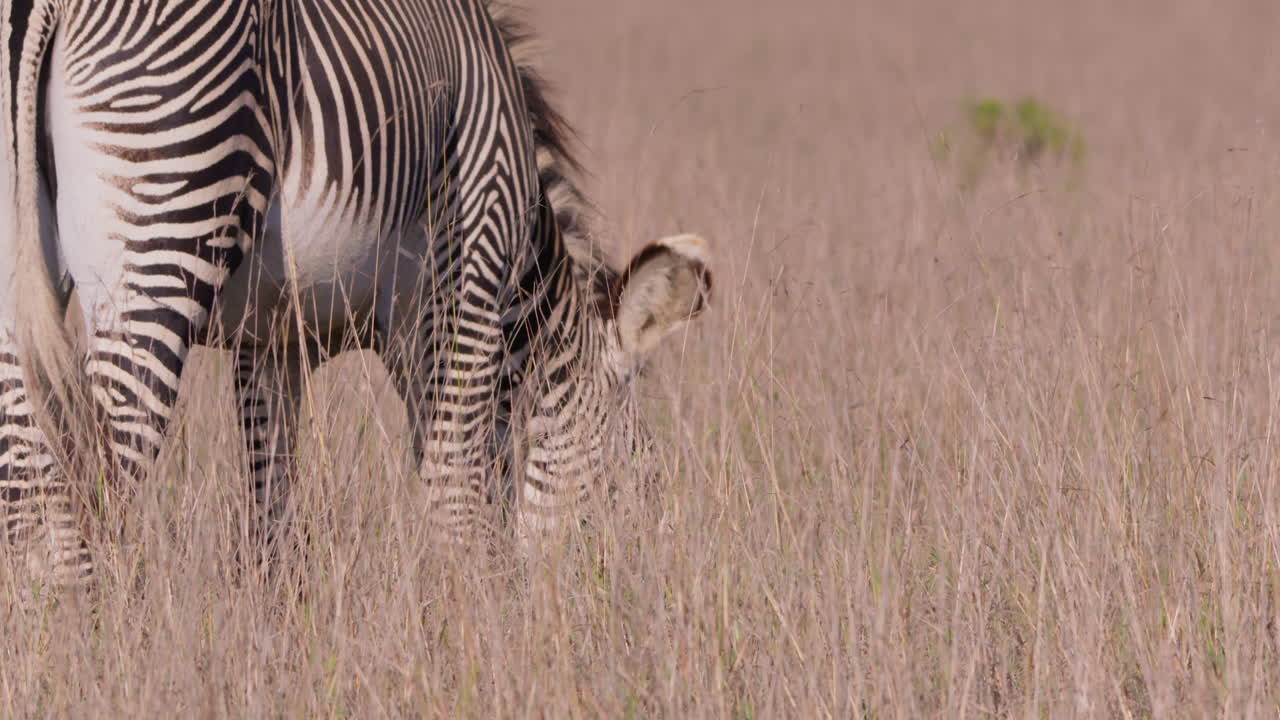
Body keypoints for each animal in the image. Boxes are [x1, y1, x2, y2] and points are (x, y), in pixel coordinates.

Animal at [0, 0, 712, 587]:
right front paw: (473, 631)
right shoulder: (469, 282)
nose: (631, 597)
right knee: (95, 492)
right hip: (166, 208)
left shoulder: (272, 343)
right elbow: (457, 498)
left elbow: (272, 524)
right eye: (637, 481)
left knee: (34, 504)